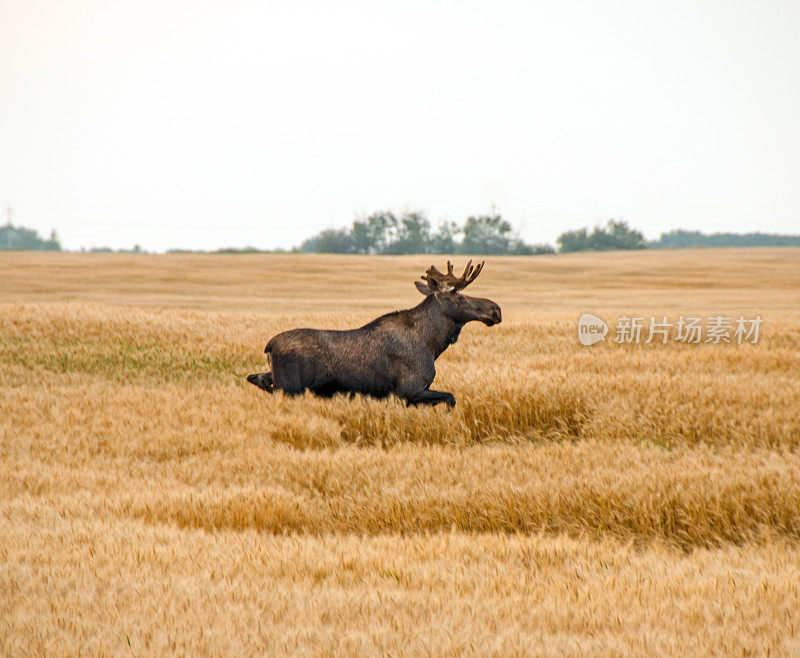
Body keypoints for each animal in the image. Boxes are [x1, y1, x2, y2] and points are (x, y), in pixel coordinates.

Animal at [247, 260, 504, 404]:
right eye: (458, 296)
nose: (496, 310)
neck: (432, 344)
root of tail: (269, 346)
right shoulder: (409, 390)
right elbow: (451, 399)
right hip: (289, 388)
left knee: (255, 378)